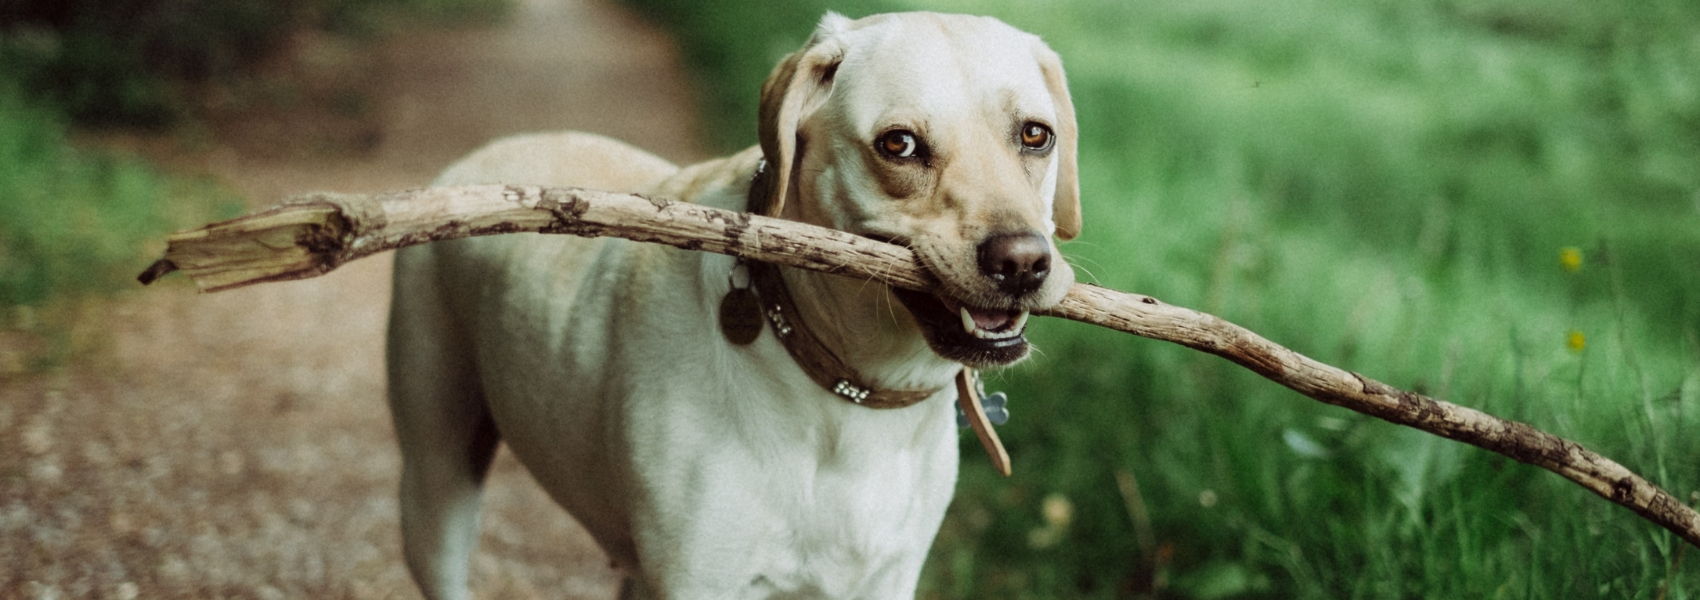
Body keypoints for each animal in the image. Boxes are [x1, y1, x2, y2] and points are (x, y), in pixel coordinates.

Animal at [385, 10, 1074, 598]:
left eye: (1035, 136)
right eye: (899, 145)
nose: (1022, 263)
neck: (846, 393)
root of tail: (477, 156)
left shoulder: (885, 578)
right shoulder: (699, 579)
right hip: (436, 485)